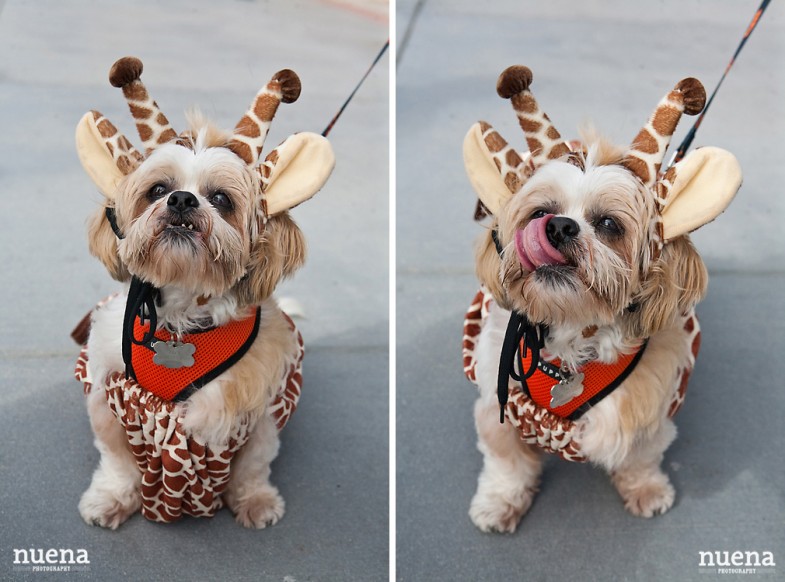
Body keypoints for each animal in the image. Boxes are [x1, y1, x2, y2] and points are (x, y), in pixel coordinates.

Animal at [70, 57, 334, 532]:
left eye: (221, 199)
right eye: (157, 189)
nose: (180, 200)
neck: (183, 314)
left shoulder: (260, 407)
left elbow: (253, 465)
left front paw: (254, 500)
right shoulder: (109, 394)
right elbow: (118, 460)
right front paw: (112, 497)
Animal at [460, 65, 740, 532]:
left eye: (609, 224)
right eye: (539, 213)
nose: (558, 226)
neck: (572, 335)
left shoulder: (647, 406)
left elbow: (641, 456)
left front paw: (647, 489)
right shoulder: (498, 403)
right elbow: (507, 462)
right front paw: (500, 501)